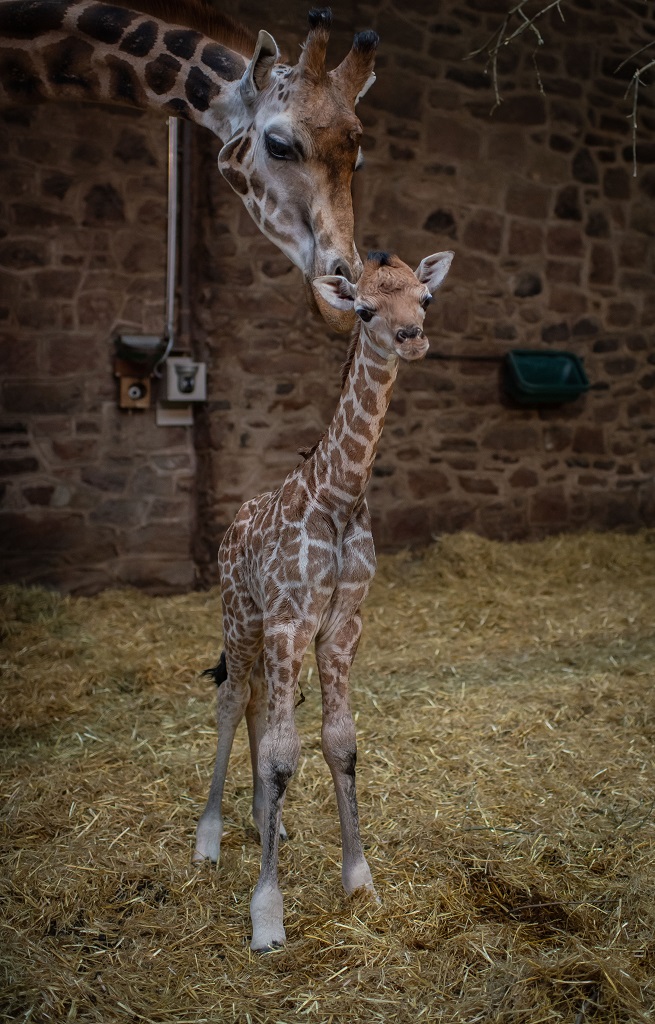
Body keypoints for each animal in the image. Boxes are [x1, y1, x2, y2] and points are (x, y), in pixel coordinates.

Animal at [192, 247, 452, 950]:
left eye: (424, 299)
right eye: (363, 308)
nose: (410, 337)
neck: (339, 496)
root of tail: (233, 523)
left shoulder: (340, 623)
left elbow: (339, 742)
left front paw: (359, 882)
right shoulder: (287, 619)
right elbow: (285, 757)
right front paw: (267, 916)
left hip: (268, 634)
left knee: (258, 704)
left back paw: (267, 823)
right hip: (240, 617)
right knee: (232, 701)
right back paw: (207, 841)